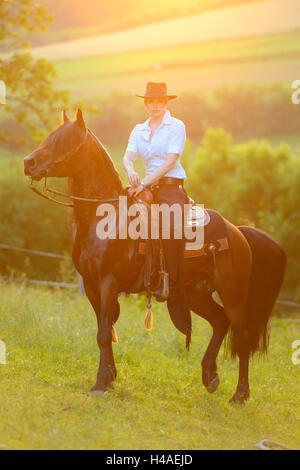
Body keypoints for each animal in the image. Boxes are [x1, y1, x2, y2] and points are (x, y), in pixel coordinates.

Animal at [23, 110, 286, 404]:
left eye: (63, 141)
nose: (28, 163)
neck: (105, 220)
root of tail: (238, 232)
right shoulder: (91, 285)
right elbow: (106, 330)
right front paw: (110, 377)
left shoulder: (107, 283)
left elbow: (103, 334)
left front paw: (100, 383)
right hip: (196, 293)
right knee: (220, 322)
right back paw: (210, 375)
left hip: (234, 294)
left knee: (242, 337)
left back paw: (240, 395)